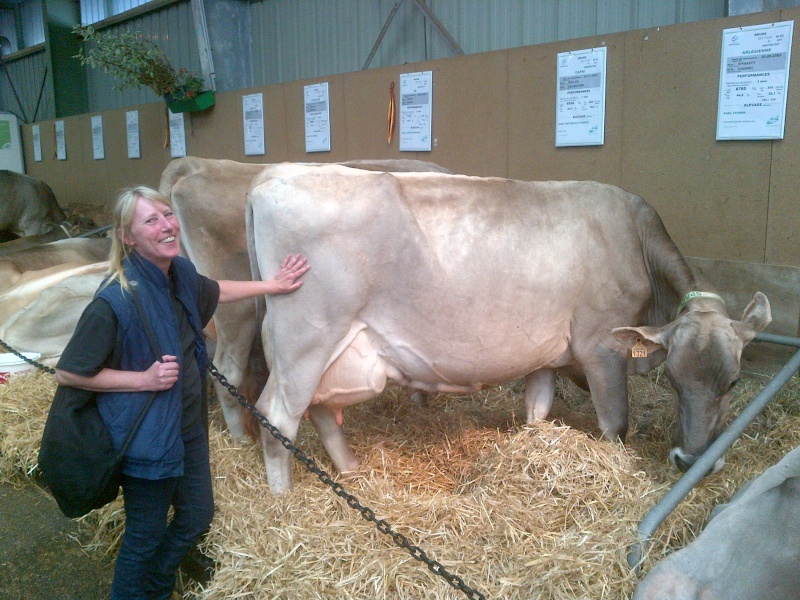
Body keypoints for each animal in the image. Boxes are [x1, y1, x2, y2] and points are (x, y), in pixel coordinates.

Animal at [245, 164, 768, 492]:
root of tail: (275, 174)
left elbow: (537, 413)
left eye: (733, 382)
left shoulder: (546, 356)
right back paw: (282, 500)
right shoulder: (601, 346)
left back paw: (351, 472)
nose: (693, 462)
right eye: (673, 379)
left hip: (323, 350)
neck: (635, 236)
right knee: (277, 416)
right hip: (306, 339)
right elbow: (615, 423)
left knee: (317, 410)